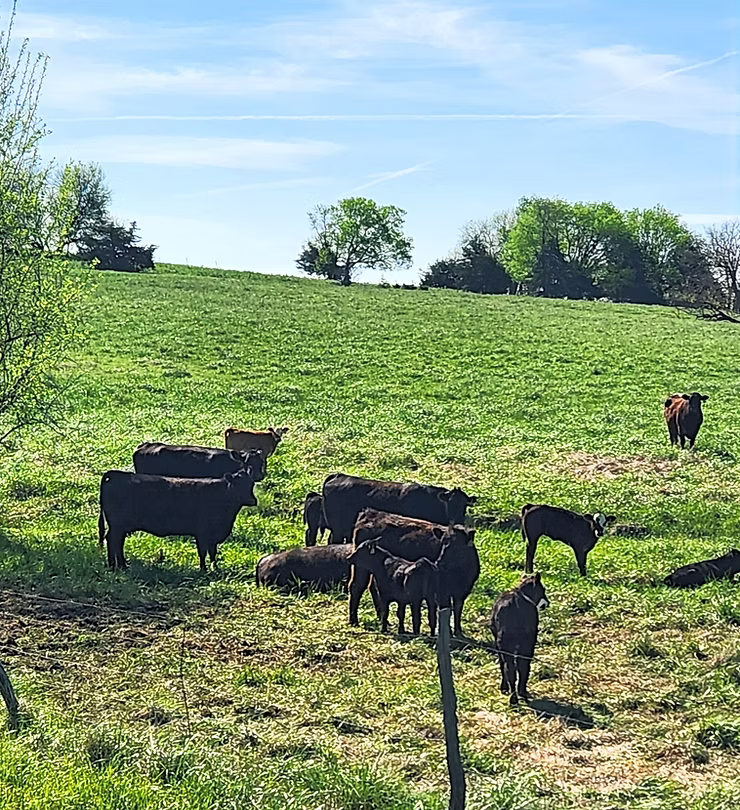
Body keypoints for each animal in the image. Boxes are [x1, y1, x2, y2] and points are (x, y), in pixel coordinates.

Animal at [98, 468, 258, 571]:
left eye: (251, 484)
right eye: (238, 485)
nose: (253, 500)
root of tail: (117, 474)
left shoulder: (212, 535)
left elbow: (213, 552)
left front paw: (215, 568)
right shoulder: (202, 533)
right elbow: (203, 551)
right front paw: (203, 569)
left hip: (121, 526)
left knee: (117, 542)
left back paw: (121, 565)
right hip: (118, 525)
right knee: (112, 540)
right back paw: (115, 566)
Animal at [349, 508, 479, 636]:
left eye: (457, 546)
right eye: (442, 543)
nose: (440, 562)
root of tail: (371, 513)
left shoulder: (462, 590)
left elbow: (458, 609)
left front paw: (458, 631)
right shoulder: (442, 591)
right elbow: (447, 609)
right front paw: (449, 632)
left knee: (373, 587)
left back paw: (381, 619)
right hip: (360, 566)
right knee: (356, 586)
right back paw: (354, 621)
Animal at [491, 573, 550, 706]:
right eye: (543, 589)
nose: (547, 603)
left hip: (509, 644)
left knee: (511, 668)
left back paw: (514, 698)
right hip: (527, 643)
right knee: (522, 666)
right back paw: (520, 694)